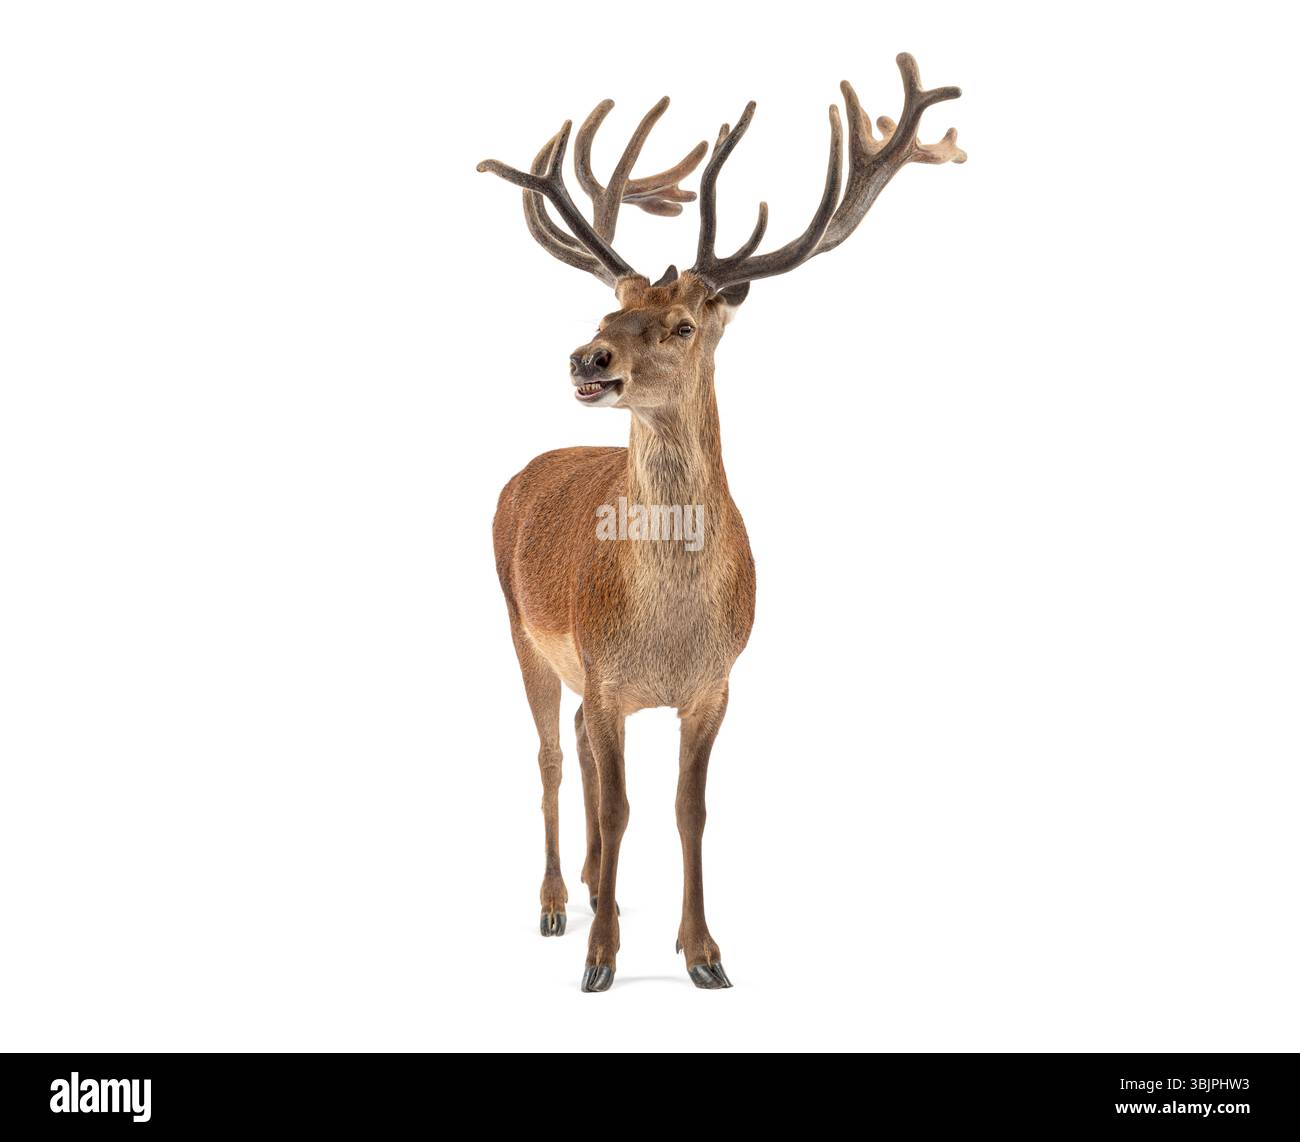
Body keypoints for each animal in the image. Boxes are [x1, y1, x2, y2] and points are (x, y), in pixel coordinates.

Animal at [479, 54, 964, 991]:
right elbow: (621, 806)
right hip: (521, 629)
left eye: (679, 324)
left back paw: (593, 885)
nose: (586, 357)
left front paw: (702, 951)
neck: (668, 630)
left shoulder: (716, 684)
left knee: (580, 757)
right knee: (553, 757)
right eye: (606, 314)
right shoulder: (605, 676)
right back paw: (559, 902)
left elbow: (687, 809)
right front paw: (601, 957)